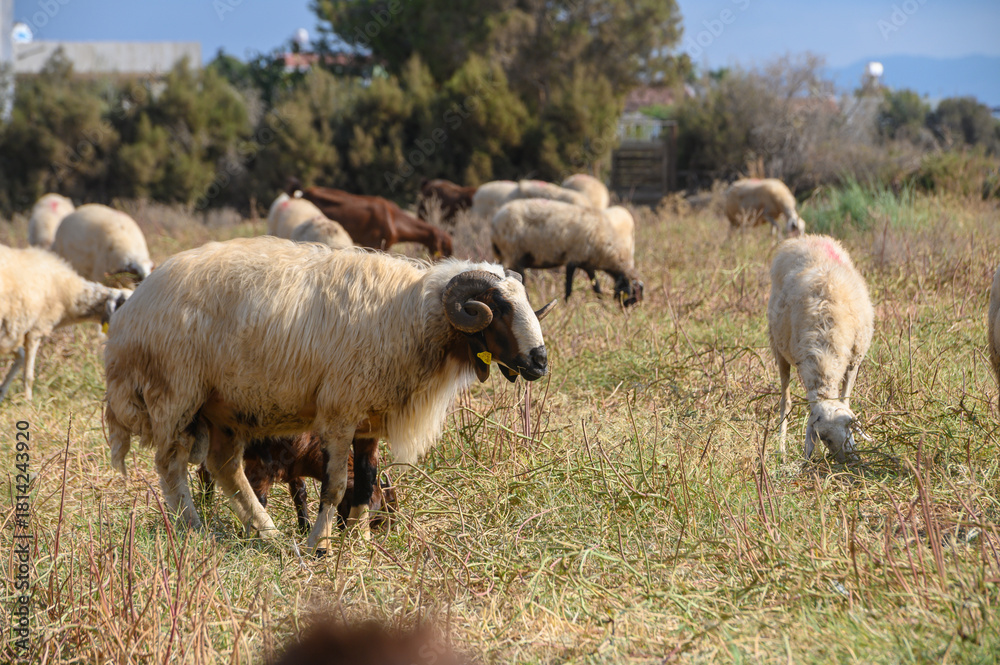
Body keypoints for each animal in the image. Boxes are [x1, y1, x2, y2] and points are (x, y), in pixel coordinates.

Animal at [0, 246, 130, 402]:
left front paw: (4, 393)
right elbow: (28, 374)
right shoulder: (36, 329)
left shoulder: (12, 334)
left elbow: (20, 357)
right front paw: (28, 400)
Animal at [103, 237, 556, 551]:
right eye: (499, 306)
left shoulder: (368, 420)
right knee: (171, 468)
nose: (540, 362)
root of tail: (131, 309)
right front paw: (320, 544)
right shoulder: (339, 413)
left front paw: (359, 544)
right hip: (175, 395)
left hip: (225, 410)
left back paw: (266, 534)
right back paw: (196, 530)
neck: (409, 316)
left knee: (226, 468)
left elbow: (367, 481)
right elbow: (335, 485)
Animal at [491, 198, 644, 307]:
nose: (626, 311)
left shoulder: (587, 263)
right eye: (632, 294)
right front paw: (567, 306)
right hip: (513, 254)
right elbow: (569, 288)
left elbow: (596, 287)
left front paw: (602, 305)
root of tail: (495, 219)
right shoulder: (573, 259)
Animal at [767, 234, 874, 463]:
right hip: (778, 350)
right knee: (785, 402)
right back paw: (781, 450)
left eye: (848, 429)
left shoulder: (854, 360)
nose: (847, 462)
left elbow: (846, 400)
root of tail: (806, 238)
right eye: (824, 438)